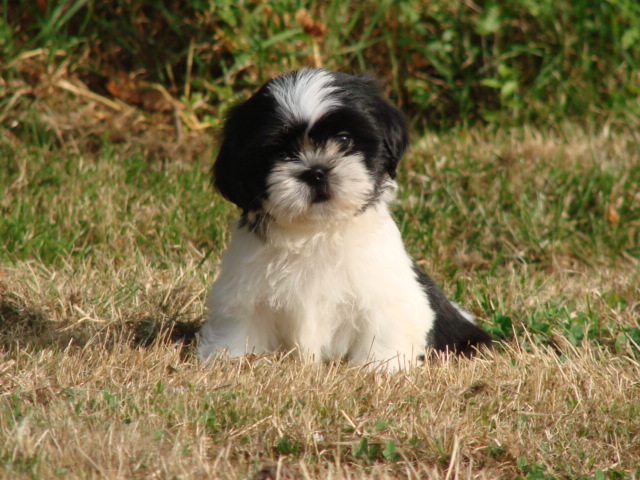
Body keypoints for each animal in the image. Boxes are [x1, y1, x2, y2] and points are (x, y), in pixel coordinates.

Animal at [197, 68, 491, 370]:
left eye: (344, 140)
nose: (315, 172)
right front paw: (233, 360)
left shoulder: (386, 297)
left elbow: (384, 331)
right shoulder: (246, 297)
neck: (315, 232)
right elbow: (239, 329)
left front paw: (379, 368)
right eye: (280, 152)